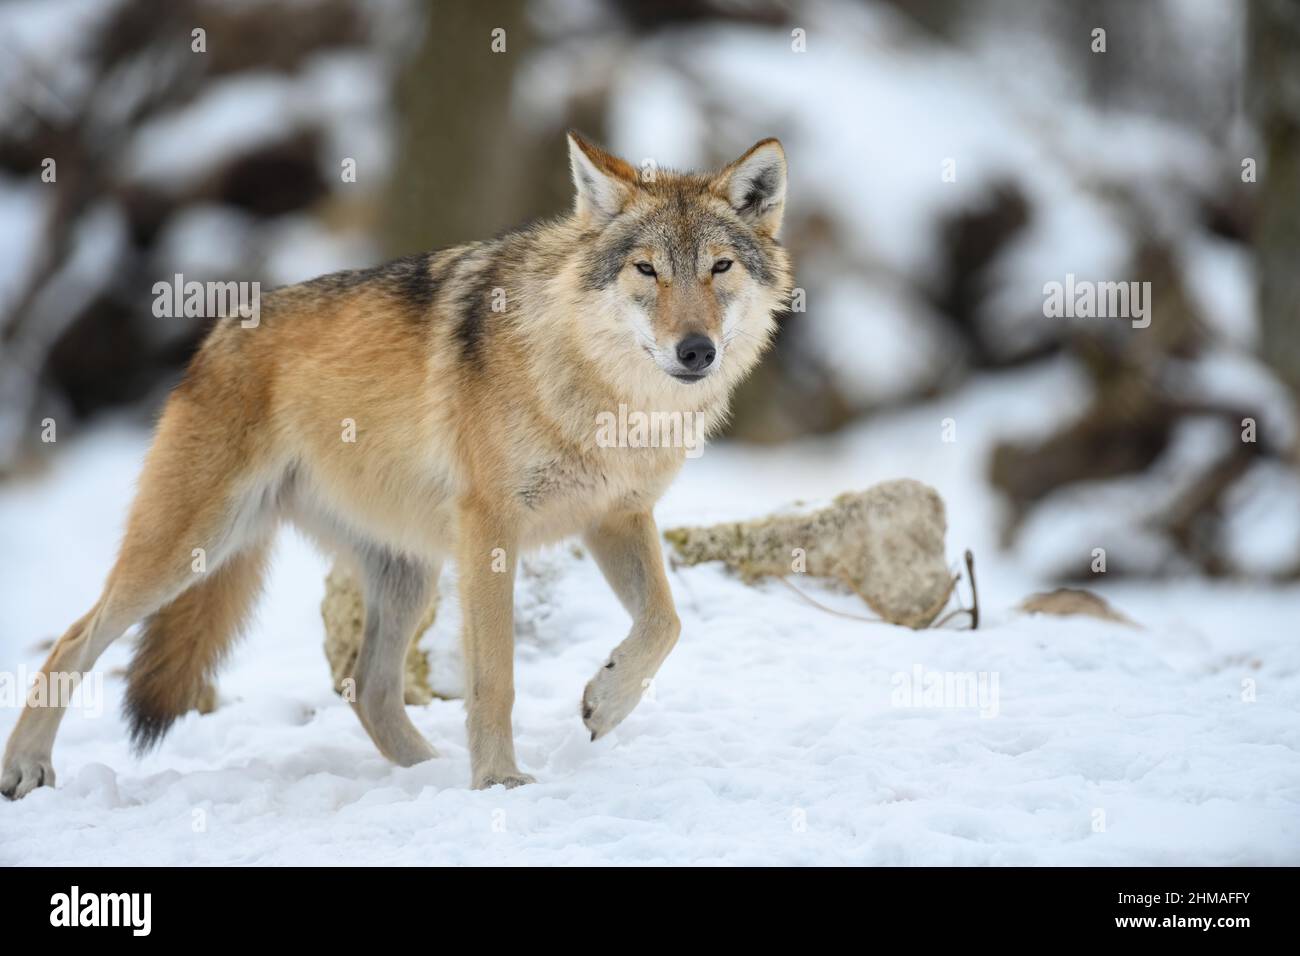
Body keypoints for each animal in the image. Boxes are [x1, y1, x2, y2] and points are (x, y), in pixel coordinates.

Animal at [1, 132, 792, 795]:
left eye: (719, 267)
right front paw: (499, 781)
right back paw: (26, 768)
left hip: (404, 572)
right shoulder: (491, 531)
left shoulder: (617, 517)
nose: (696, 350)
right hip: (188, 549)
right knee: (72, 638)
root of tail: (215, 334)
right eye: (646, 270)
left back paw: (428, 772)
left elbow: (665, 623)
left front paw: (604, 700)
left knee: (368, 688)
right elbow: (495, 678)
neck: (607, 398)